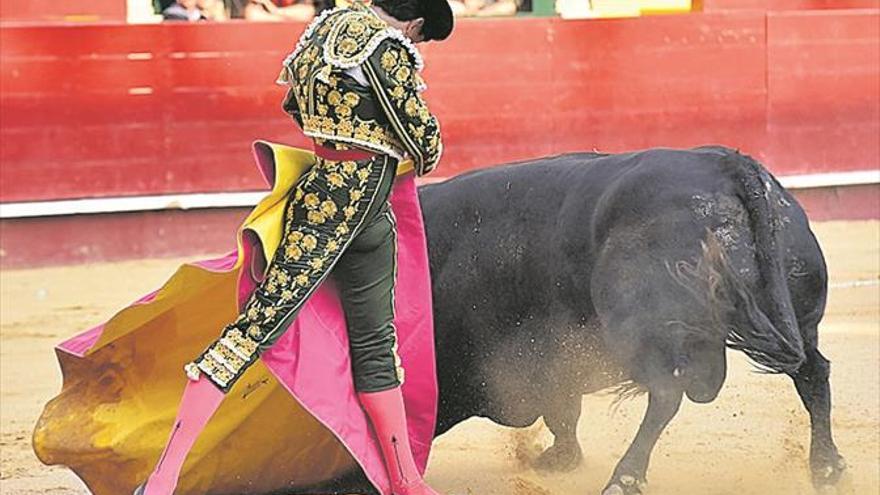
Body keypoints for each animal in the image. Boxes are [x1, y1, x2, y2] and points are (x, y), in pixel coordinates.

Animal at [420, 145, 844, 494]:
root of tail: (723, 164)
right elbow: (564, 413)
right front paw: (559, 458)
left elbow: (562, 410)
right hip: (798, 316)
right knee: (813, 373)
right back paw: (826, 469)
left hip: (637, 326)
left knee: (667, 393)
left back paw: (624, 479)